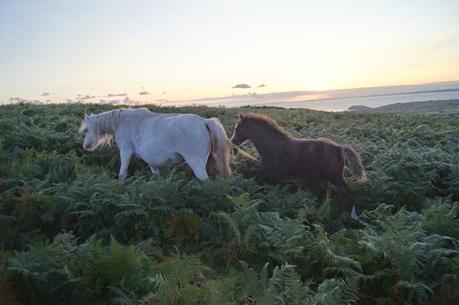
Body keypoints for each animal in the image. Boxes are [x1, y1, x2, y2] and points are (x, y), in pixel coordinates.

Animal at [79, 107, 232, 180]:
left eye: (86, 130)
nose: (86, 147)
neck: (122, 121)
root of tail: (204, 121)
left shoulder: (125, 152)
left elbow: (122, 173)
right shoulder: (151, 161)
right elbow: (155, 174)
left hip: (197, 164)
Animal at [232, 111, 368, 200]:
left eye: (237, 129)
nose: (232, 144)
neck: (272, 146)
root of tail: (338, 147)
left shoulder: (273, 176)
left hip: (336, 177)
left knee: (347, 193)